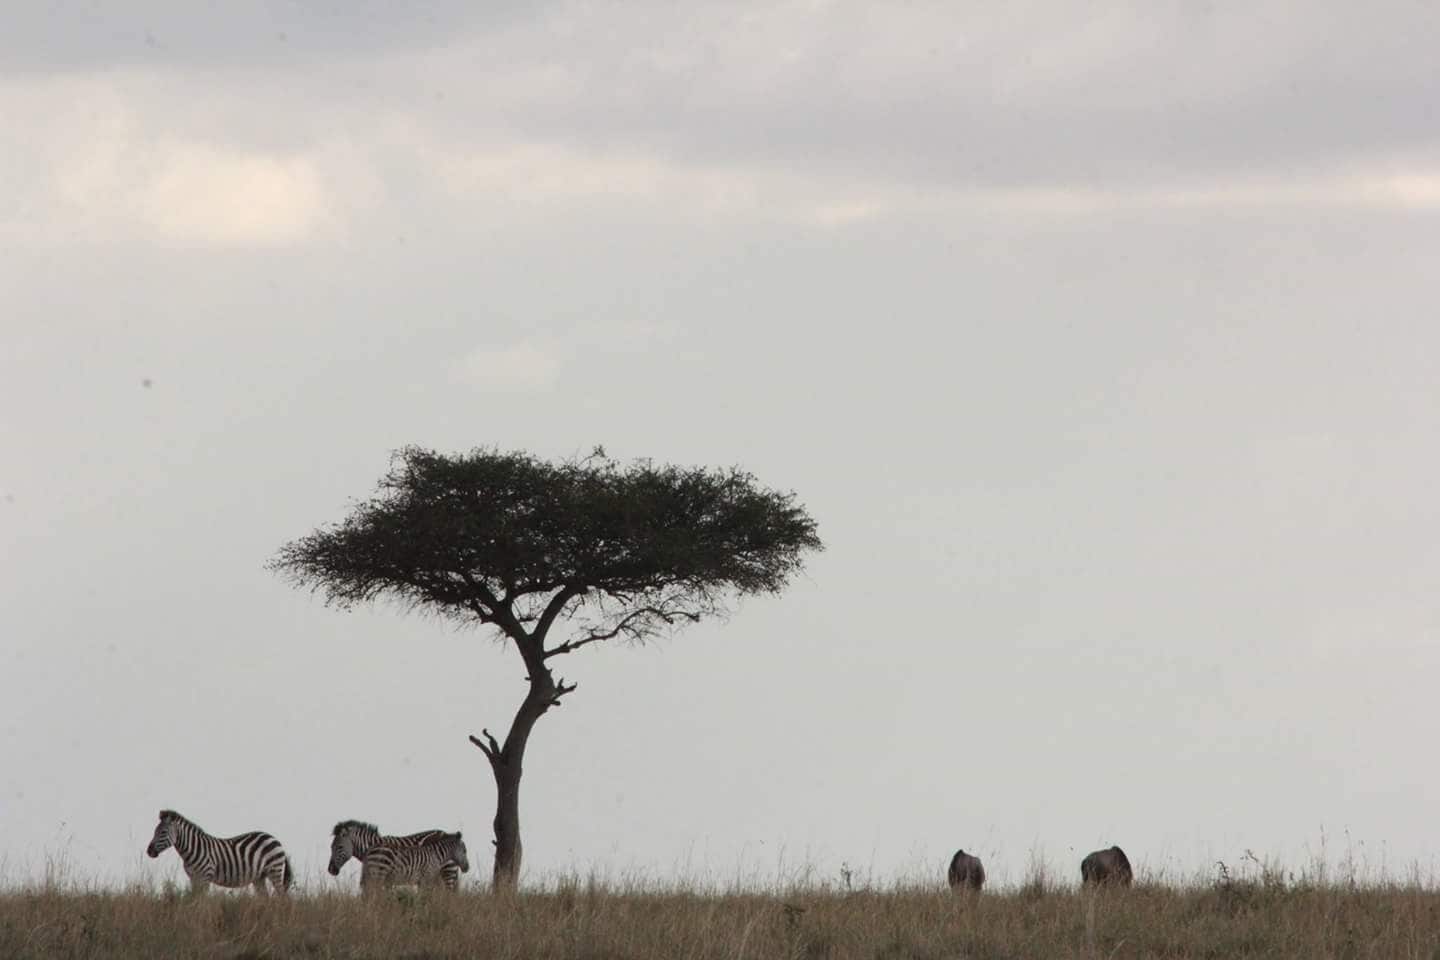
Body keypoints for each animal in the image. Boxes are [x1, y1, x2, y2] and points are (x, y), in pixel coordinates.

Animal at [145, 809, 292, 895]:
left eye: (162, 832)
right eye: (154, 831)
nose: (149, 851)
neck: (192, 849)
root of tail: (274, 838)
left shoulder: (205, 877)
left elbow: (202, 902)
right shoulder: (194, 878)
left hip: (275, 870)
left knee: (282, 897)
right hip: (259, 877)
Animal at [328, 820, 460, 890]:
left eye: (339, 847)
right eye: (331, 847)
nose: (330, 870)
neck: (373, 845)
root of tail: (445, 833)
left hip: (447, 871)